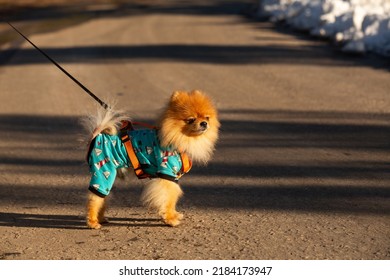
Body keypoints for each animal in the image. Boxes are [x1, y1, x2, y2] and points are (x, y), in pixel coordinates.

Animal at [82, 91, 219, 229]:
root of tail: (96, 137)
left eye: (207, 118)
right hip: (103, 172)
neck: (177, 137)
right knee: (95, 198)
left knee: (103, 198)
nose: (204, 123)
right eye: (191, 120)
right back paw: (92, 222)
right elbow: (168, 198)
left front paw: (174, 214)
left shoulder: (173, 177)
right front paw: (170, 219)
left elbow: (173, 196)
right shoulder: (167, 173)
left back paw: (101, 218)